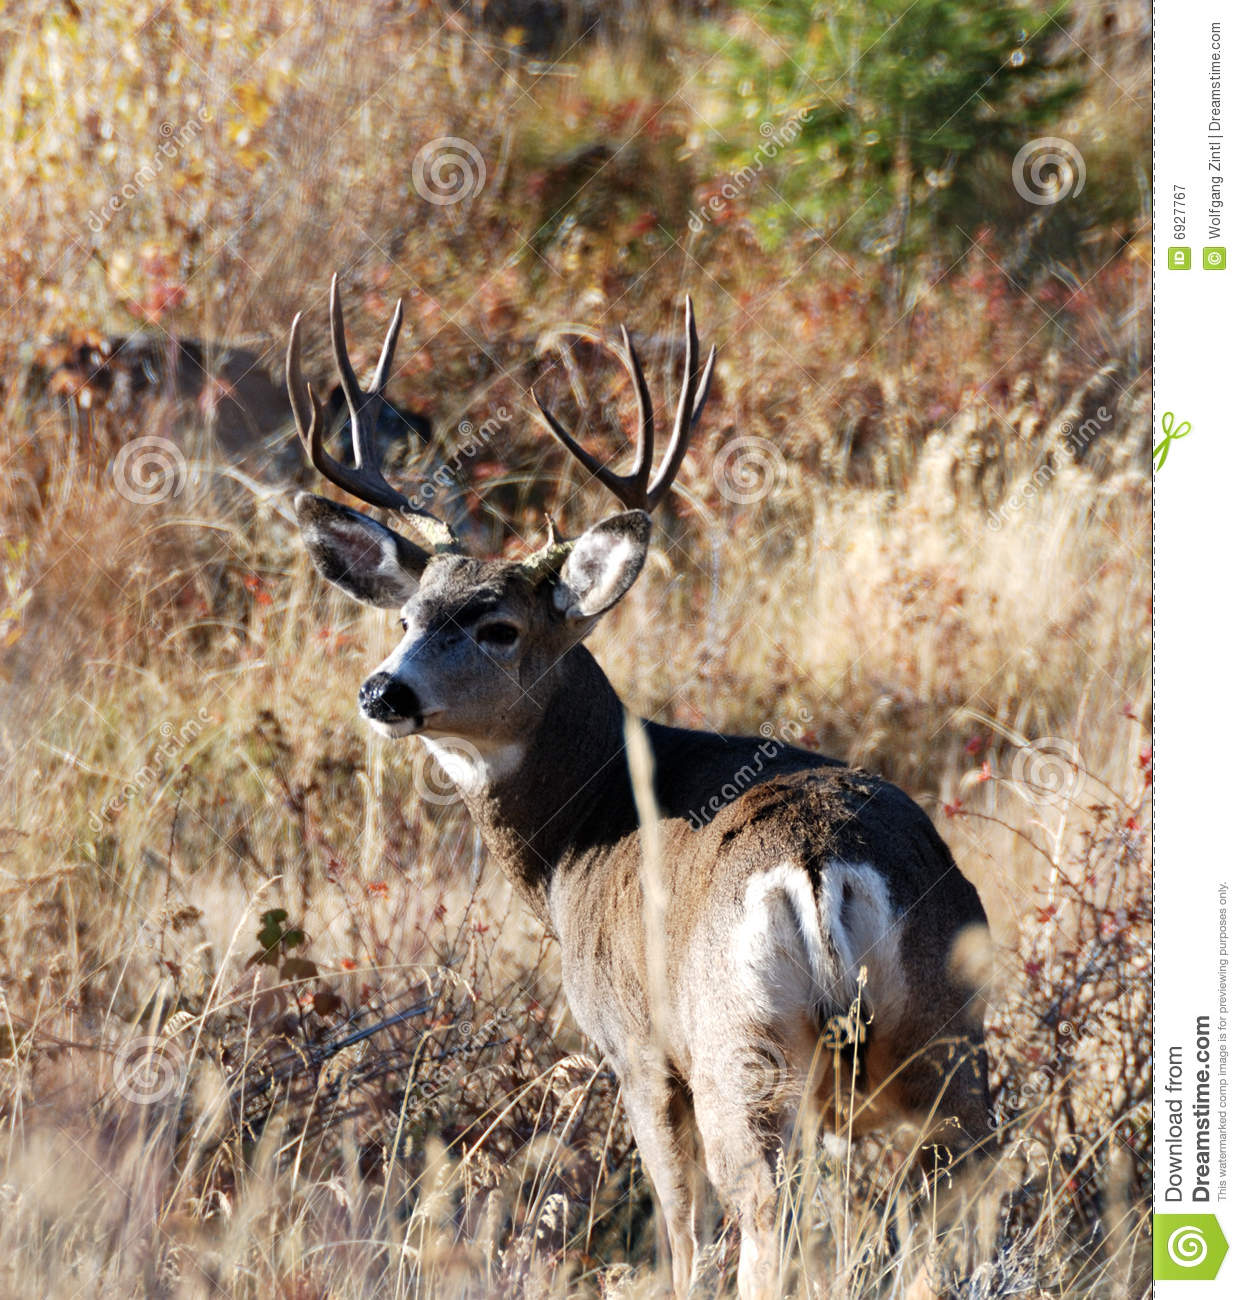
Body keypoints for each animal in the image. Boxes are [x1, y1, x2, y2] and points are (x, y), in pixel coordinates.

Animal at [286, 276, 993, 1300]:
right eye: (411, 615)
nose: (384, 691)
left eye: (497, 627)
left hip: (739, 1042)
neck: (582, 834)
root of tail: (823, 866)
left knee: (762, 1211)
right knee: (961, 1188)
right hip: (942, 1028)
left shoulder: (635, 1046)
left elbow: (679, 1226)